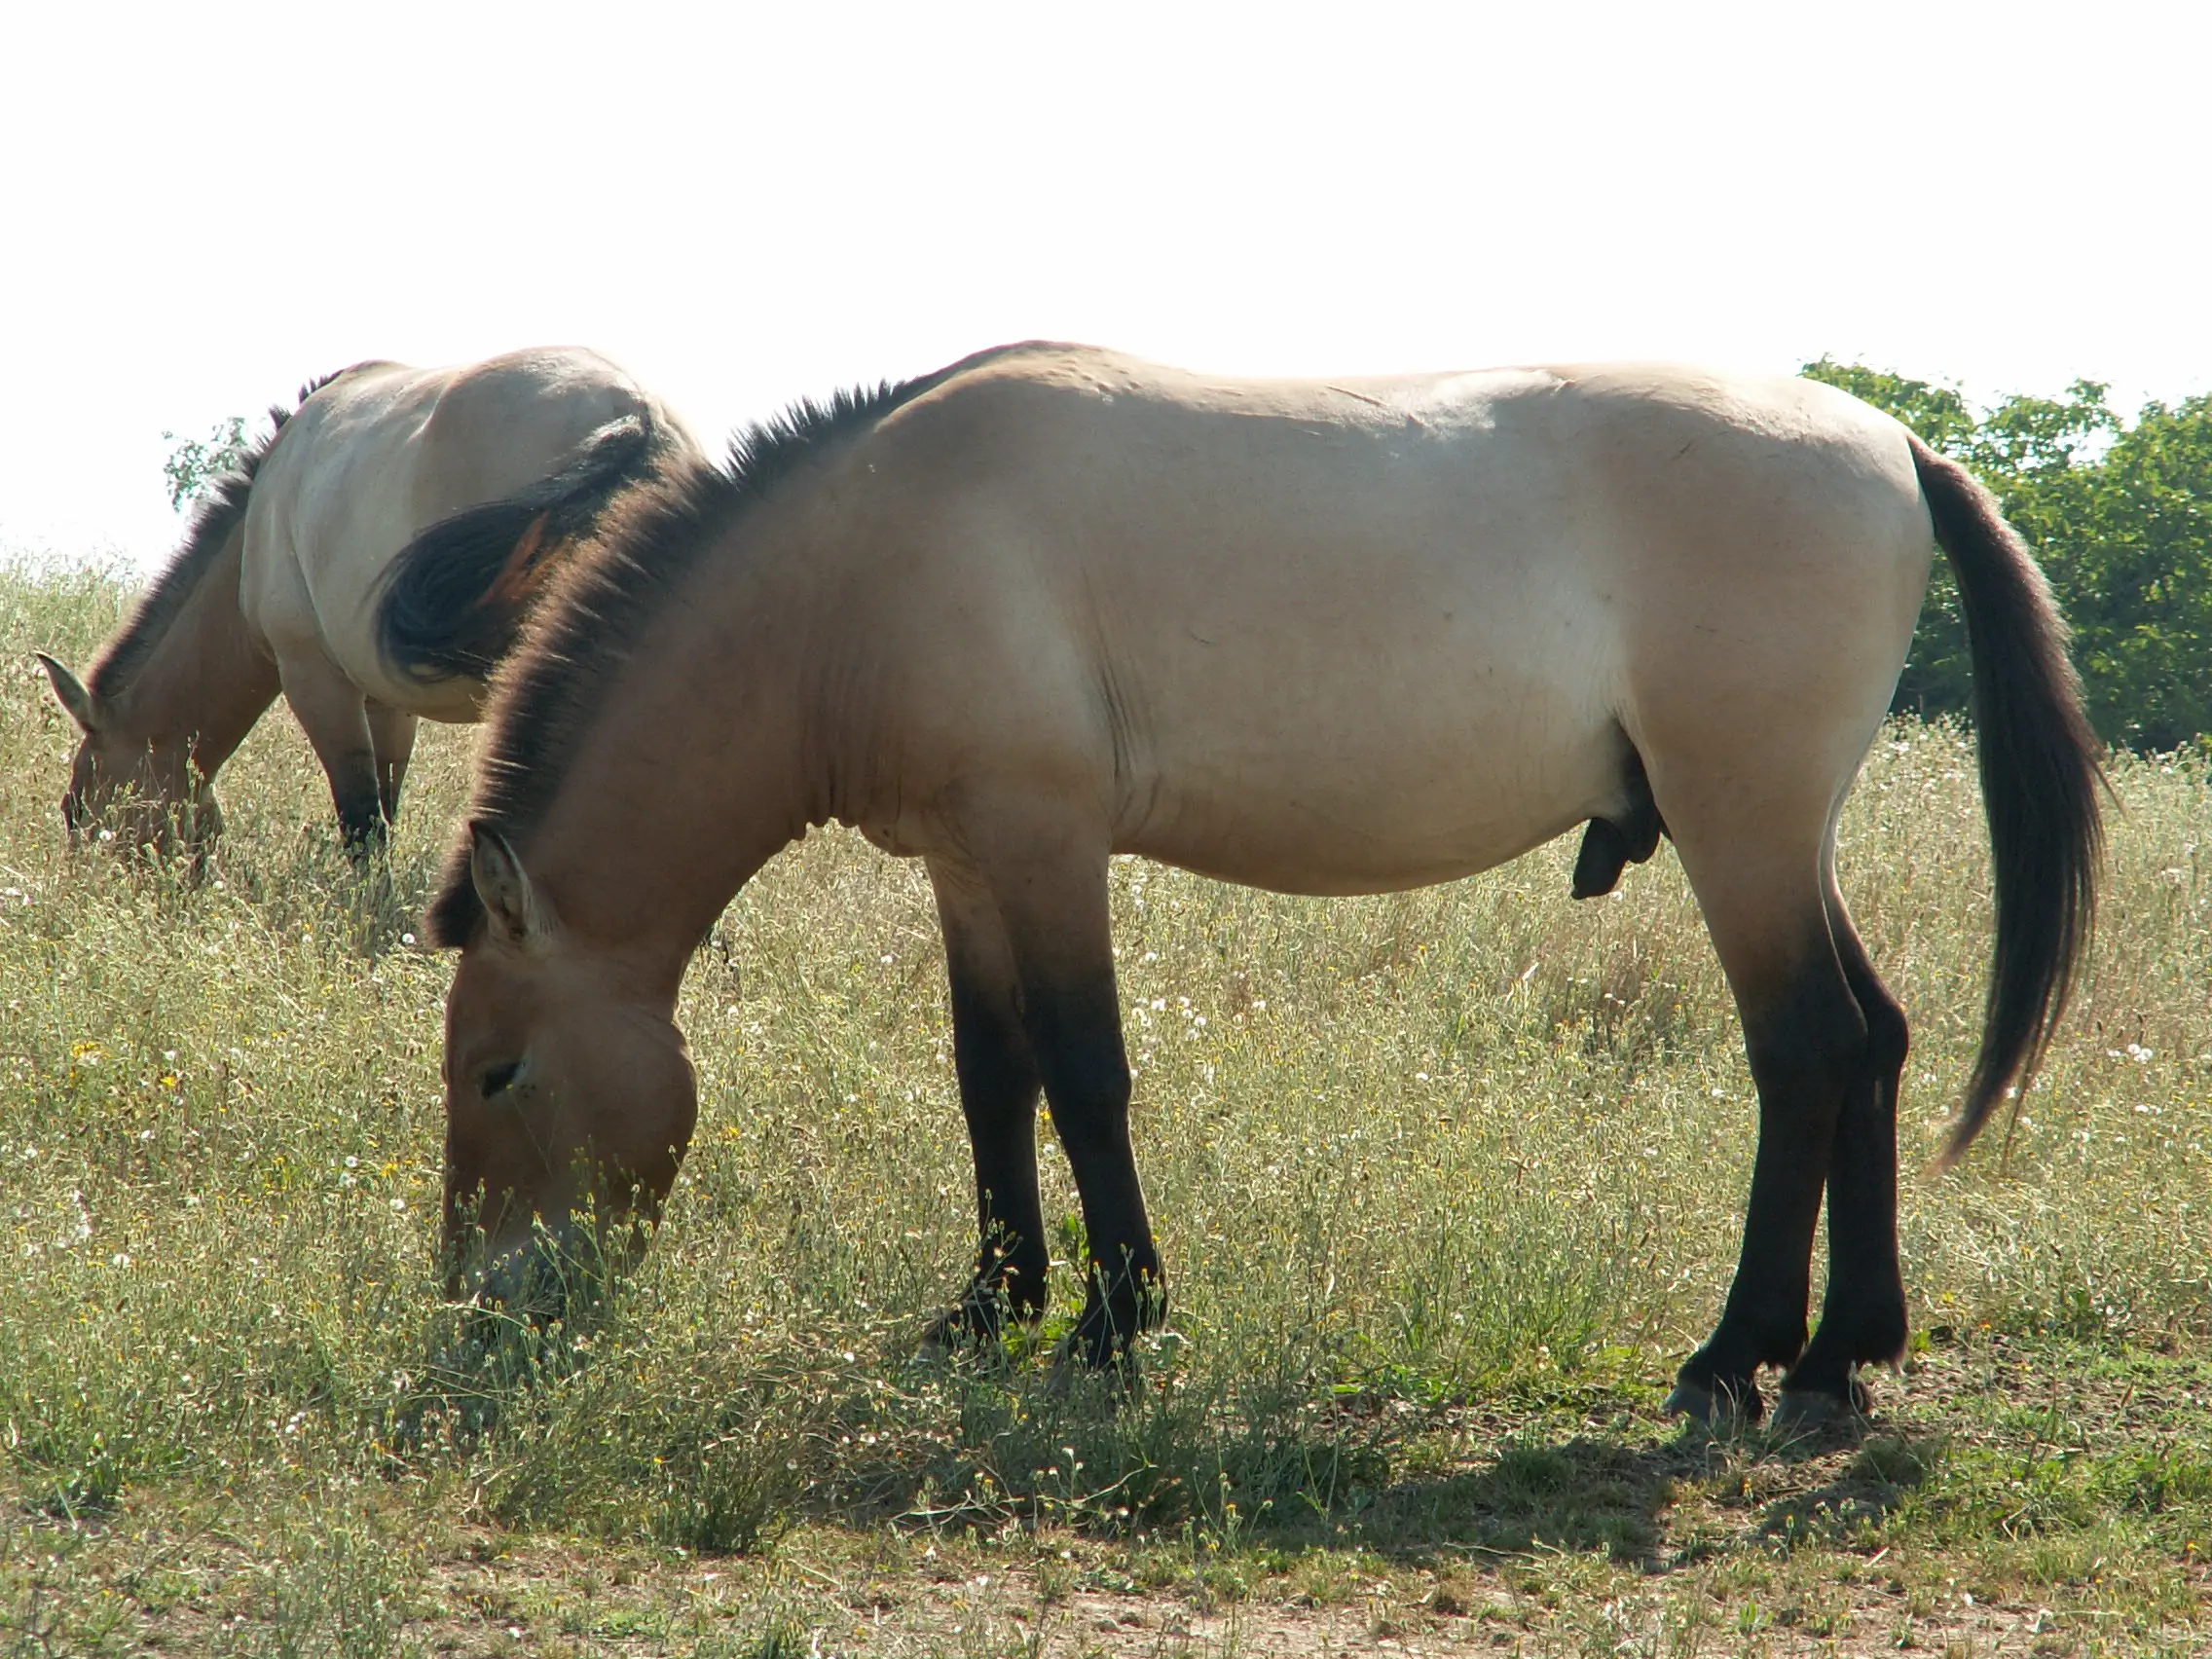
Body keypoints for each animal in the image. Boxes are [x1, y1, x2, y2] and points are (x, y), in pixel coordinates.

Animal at [37, 347, 699, 859]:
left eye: (78, 808)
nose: (87, 883)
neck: (261, 525)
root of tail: (633, 416)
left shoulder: (314, 679)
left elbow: (361, 819)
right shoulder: (389, 700)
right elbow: (387, 800)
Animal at [426, 342, 2102, 1426]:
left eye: (499, 1072)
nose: (480, 1303)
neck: (865, 571)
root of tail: (1894, 448)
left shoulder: (1044, 846)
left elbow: (1084, 1074)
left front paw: (1116, 1320)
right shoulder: (966, 866)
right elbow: (992, 1078)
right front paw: (991, 1305)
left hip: (1741, 829)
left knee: (1808, 1051)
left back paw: (1741, 1356)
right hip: (1774, 839)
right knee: (1874, 1044)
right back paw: (1844, 1352)